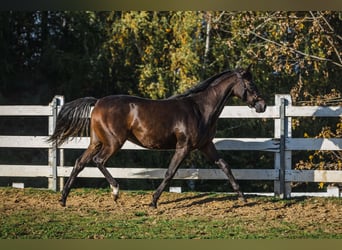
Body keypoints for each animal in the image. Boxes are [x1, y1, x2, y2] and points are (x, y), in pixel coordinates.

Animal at [48, 65, 268, 208]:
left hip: (96, 141)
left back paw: (63, 199)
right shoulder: (184, 147)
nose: (262, 105)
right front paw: (153, 201)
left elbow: (225, 166)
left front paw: (243, 197)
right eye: (251, 85)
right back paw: (115, 191)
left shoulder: (206, 145)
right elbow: (170, 173)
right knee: (98, 161)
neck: (200, 109)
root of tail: (98, 101)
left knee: (79, 163)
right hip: (113, 142)